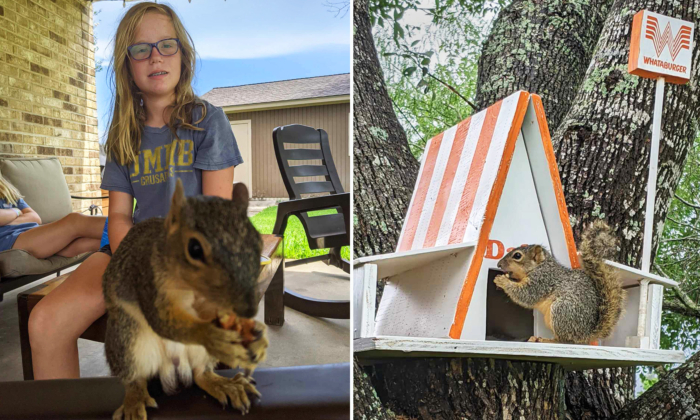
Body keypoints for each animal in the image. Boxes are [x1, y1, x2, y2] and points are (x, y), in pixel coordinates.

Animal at [102, 179, 266, 418]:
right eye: (194, 249)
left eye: (258, 241)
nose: (249, 309)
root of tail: (171, 362)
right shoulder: (147, 278)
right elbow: (163, 320)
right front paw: (210, 335)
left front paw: (256, 336)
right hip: (126, 338)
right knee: (134, 377)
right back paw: (134, 399)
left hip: (199, 355)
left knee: (200, 374)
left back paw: (225, 385)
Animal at [494, 220, 628, 344]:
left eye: (517, 255)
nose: (498, 264)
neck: (539, 267)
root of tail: (586, 334)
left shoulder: (542, 280)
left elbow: (526, 294)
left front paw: (502, 280)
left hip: (562, 310)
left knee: (565, 340)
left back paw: (545, 340)